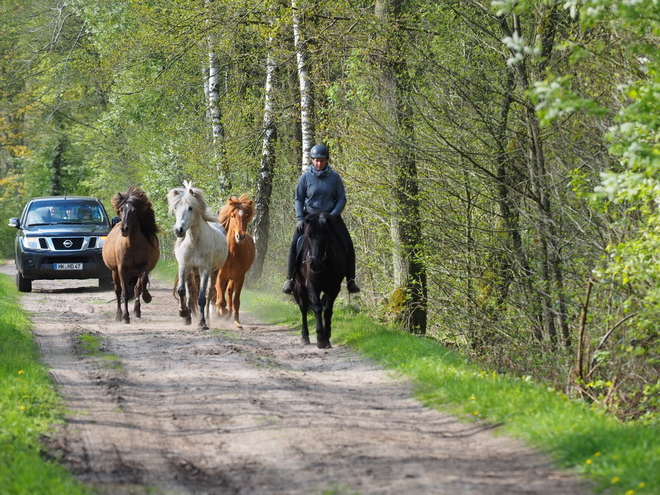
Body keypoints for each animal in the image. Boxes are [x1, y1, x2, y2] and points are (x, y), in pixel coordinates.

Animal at [102, 187, 160, 326]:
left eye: (134, 211)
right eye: (121, 209)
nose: (124, 229)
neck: (132, 244)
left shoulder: (144, 266)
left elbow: (142, 283)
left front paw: (147, 297)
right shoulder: (122, 268)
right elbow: (124, 293)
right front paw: (125, 317)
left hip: (135, 272)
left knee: (137, 288)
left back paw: (137, 311)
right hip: (114, 272)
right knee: (118, 291)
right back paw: (118, 315)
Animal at [166, 182, 228, 330]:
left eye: (190, 208)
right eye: (176, 208)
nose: (178, 230)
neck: (194, 242)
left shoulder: (204, 269)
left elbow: (201, 298)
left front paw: (202, 322)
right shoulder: (184, 266)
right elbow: (181, 291)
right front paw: (183, 313)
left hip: (213, 272)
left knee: (208, 294)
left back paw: (208, 320)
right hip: (191, 272)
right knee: (189, 293)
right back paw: (188, 317)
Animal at [217, 194, 258, 330]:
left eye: (246, 216)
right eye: (233, 215)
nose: (240, 236)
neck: (232, 253)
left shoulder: (239, 277)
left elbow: (236, 301)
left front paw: (237, 322)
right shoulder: (220, 276)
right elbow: (220, 297)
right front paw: (221, 310)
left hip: (232, 278)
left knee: (229, 293)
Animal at [292, 212, 348, 348]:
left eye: (325, 237)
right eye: (308, 237)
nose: (315, 265)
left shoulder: (334, 287)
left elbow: (327, 310)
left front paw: (326, 337)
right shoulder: (312, 286)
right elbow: (317, 308)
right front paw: (320, 338)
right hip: (300, 286)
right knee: (303, 308)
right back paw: (305, 337)